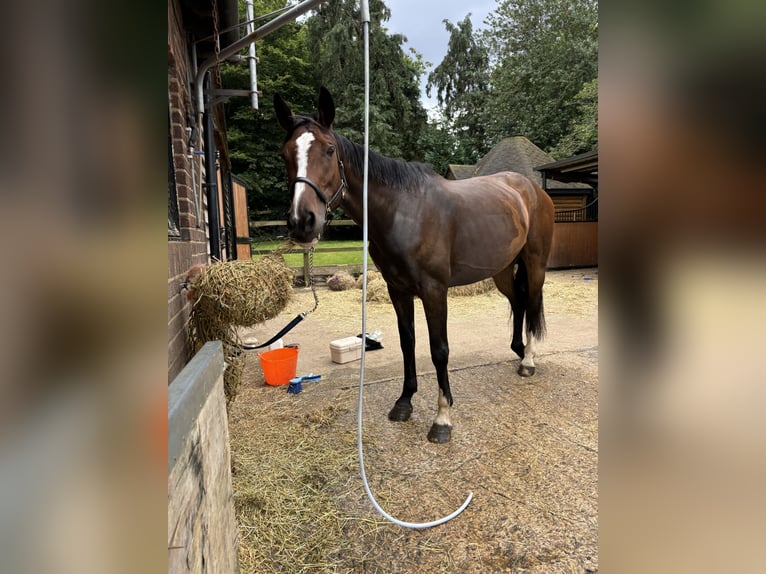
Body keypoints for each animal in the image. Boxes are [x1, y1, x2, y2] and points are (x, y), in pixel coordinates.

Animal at [276, 88, 560, 446]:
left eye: (329, 150)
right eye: (285, 153)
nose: (302, 222)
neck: (404, 212)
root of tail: (532, 189)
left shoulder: (434, 290)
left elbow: (439, 350)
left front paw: (442, 417)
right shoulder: (399, 291)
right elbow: (407, 342)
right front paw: (404, 402)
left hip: (535, 263)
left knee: (532, 302)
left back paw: (529, 360)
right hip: (502, 270)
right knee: (519, 302)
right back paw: (519, 351)